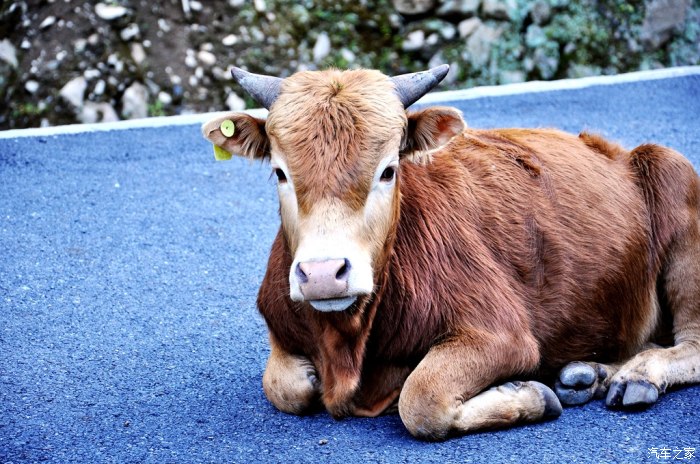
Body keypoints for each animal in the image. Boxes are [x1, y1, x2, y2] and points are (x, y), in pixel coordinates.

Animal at [201, 64, 700, 438]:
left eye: (388, 170)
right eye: (280, 172)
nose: (324, 274)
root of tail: (621, 151)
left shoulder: (500, 333)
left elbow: (420, 400)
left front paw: (528, 396)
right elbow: (283, 385)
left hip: (677, 179)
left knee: (690, 342)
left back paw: (635, 376)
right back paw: (589, 374)